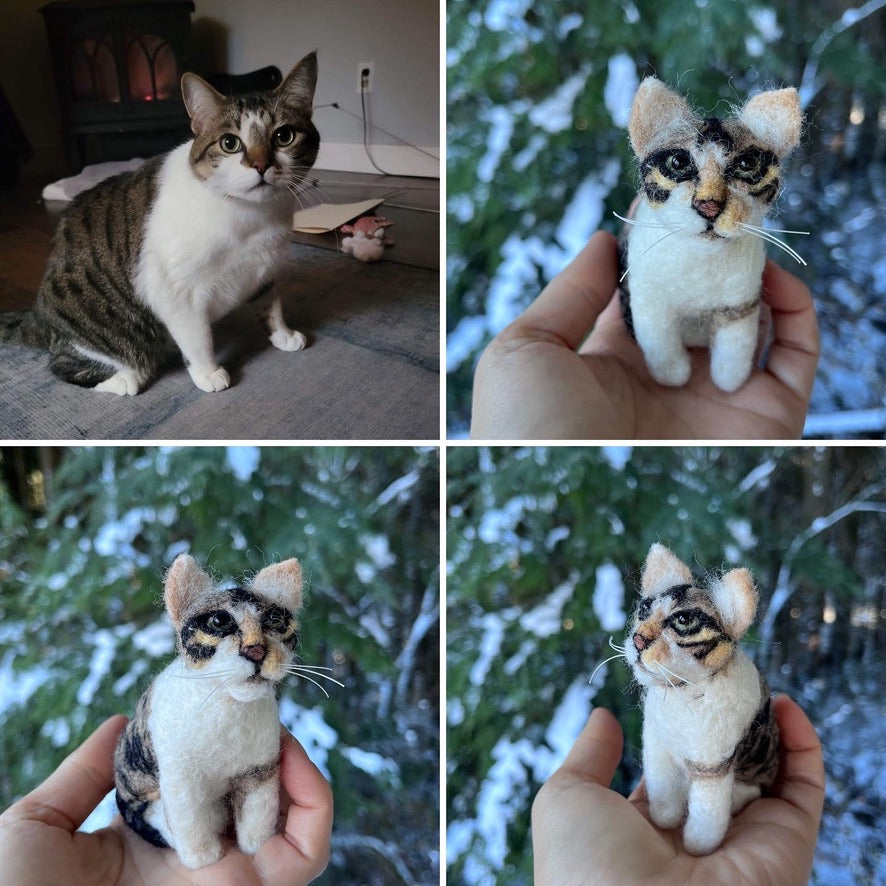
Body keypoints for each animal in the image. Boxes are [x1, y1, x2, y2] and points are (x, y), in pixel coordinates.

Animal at [0, 54, 320, 396]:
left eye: (284, 136)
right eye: (229, 143)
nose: (261, 165)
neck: (251, 216)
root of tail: (38, 312)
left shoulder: (263, 268)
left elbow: (270, 304)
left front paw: (283, 334)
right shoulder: (175, 291)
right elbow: (197, 337)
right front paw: (208, 373)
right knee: (69, 364)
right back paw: (126, 378)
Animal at [620, 79, 808, 392]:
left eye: (747, 164)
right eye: (678, 162)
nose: (708, 205)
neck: (701, 264)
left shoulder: (740, 305)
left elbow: (735, 347)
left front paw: (730, 381)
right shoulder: (648, 299)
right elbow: (660, 342)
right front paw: (672, 376)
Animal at [620, 544, 780, 856]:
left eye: (684, 621)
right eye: (643, 610)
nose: (638, 640)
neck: (681, 693)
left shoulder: (713, 765)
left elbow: (708, 814)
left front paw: (699, 846)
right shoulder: (658, 745)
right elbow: (663, 791)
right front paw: (663, 818)